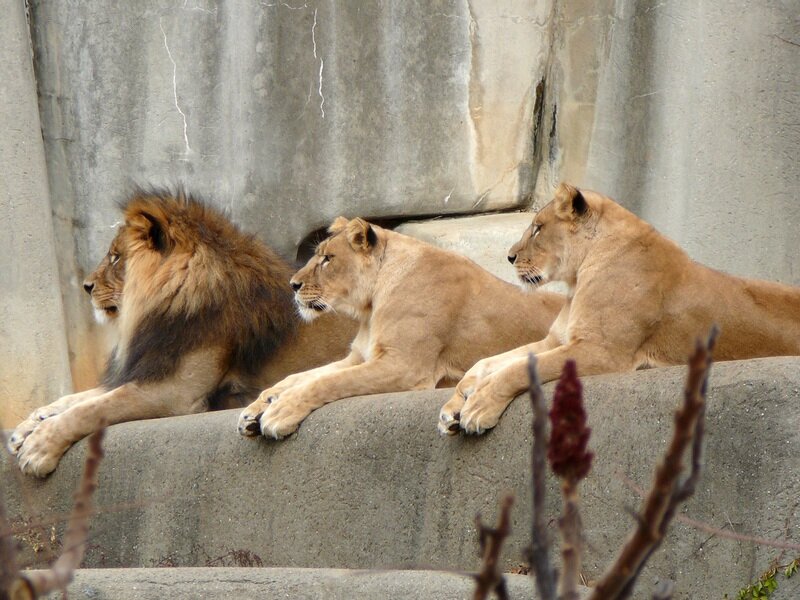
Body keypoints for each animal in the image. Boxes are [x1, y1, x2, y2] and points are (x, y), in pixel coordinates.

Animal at [8, 190, 356, 476]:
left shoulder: (174, 391)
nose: (86, 286)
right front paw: (28, 425)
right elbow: (78, 398)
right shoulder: (150, 368)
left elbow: (93, 408)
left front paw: (39, 448)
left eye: (117, 257)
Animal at [237, 216, 565, 440]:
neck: (371, 306)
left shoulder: (404, 366)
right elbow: (298, 377)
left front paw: (279, 412)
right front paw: (258, 407)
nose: (293, 285)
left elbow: (327, 382)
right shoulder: (360, 356)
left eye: (328, 259)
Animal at [439, 182, 800, 435]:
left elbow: (519, 369)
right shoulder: (556, 340)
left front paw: (478, 407)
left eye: (538, 228)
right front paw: (455, 404)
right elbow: (488, 362)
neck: (578, 279)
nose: (510, 257)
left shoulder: (602, 351)